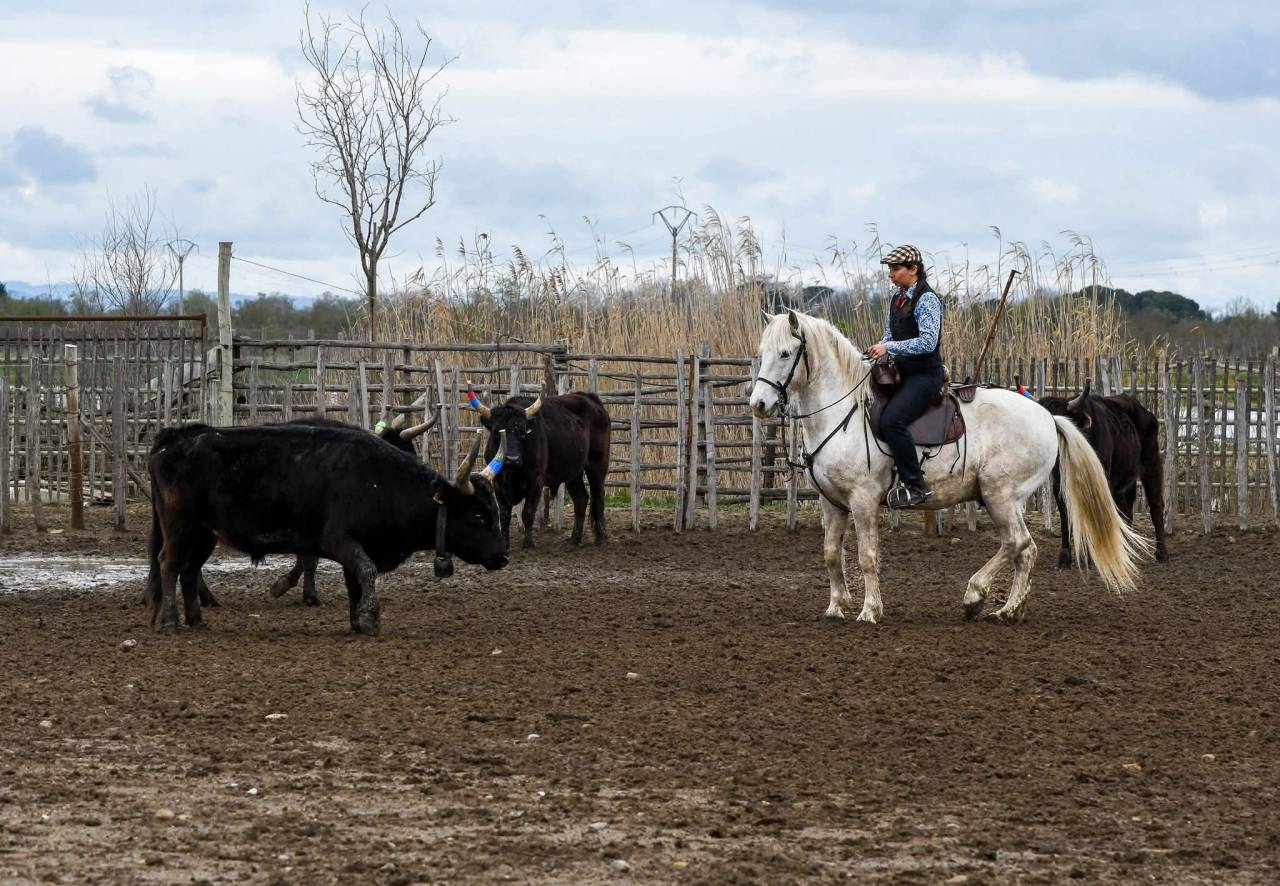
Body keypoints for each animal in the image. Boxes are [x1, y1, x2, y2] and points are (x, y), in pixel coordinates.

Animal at [749, 310, 1152, 623]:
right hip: (1010, 500)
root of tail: (1047, 416)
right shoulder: (832, 503)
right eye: (762, 353)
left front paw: (869, 611)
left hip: (999, 494)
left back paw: (975, 596)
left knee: (1015, 542)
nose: (758, 404)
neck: (844, 413)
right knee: (1026, 550)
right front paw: (836, 607)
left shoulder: (863, 501)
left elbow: (866, 556)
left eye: (785, 353)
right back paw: (1009, 610)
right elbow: (831, 553)